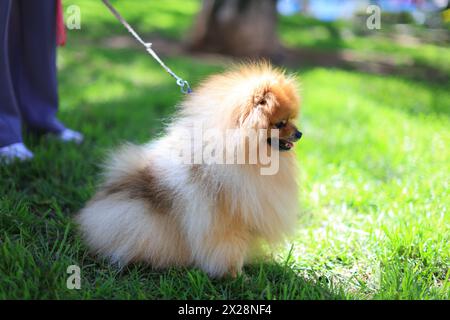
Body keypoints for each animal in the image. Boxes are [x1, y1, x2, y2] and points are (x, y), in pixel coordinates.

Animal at [76, 62, 302, 278]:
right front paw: (237, 276)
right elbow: (230, 249)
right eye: (280, 123)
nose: (299, 133)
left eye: (292, 119)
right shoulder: (225, 222)